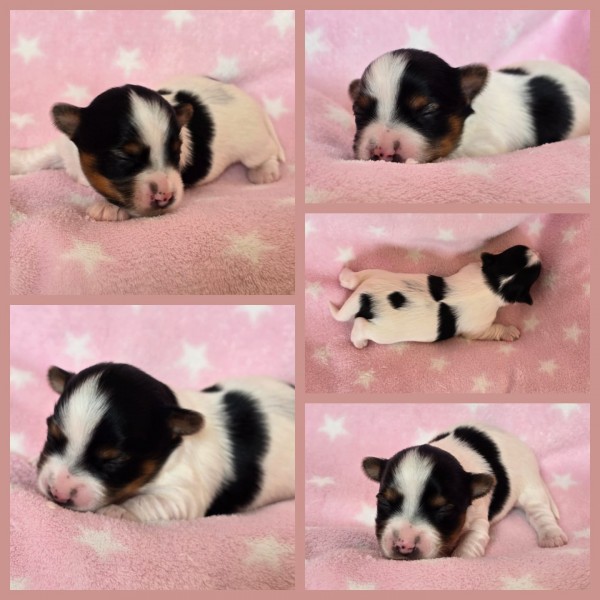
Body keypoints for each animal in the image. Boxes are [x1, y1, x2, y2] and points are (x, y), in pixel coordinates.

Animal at [11, 76, 285, 220]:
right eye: (123, 157)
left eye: (176, 152)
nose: (165, 197)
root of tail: (248, 99)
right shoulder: (65, 147)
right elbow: (40, 155)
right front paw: (14, 160)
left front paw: (109, 207)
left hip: (253, 146)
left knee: (267, 153)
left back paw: (264, 172)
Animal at [36, 362, 295, 521]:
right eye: (52, 436)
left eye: (113, 461)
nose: (57, 493)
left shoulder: (184, 493)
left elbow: (150, 501)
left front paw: (117, 510)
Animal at [328, 245, 541, 348]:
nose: (538, 252)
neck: (494, 283)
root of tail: (364, 296)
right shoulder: (478, 329)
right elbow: (492, 330)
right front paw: (510, 331)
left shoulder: (473, 269)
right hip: (383, 332)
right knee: (360, 326)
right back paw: (359, 342)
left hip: (378, 275)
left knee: (355, 280)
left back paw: (346, 274)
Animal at [362, 423, 567, 559]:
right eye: (384, 502)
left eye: (444, 509)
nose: (404, 545)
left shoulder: (478, 521)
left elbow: (470, 542)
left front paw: (460, 556)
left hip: (530, 485)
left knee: (539, 512)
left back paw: (552, 536)